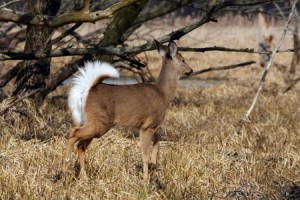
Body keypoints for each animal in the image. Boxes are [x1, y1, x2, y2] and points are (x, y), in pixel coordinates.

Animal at [60, 39, 193, 181]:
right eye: (183, 60)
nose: (190, 70)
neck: (163, 93)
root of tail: (86, 91)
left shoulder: (145, 126)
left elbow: (158, 139)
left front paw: (153, 164)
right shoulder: (149, 125)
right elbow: (145, 154)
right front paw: (145, 178)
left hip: (91, 122)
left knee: (81, 145)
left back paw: (84, 177)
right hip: (100, 122)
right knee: (74, 133)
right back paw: (64, 168)